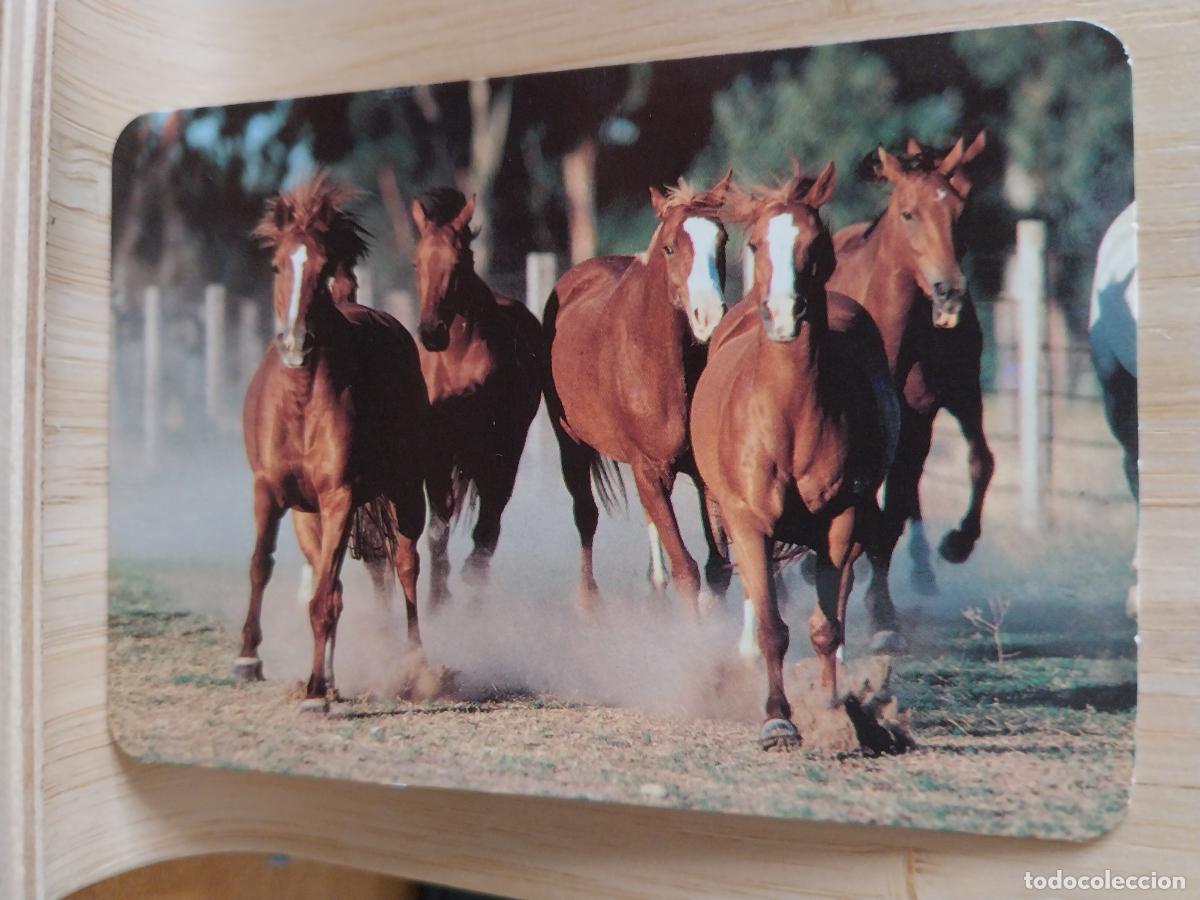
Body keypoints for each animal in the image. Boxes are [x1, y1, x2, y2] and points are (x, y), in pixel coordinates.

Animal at [237, 174, 430, 711]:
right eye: (278, 265)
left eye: (322, 268)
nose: (295, 342)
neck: (301, 405)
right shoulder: (270, 491)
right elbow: (262, 566)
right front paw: (248, 659)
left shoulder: (340, 496)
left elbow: (324, 596)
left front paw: (315, 692)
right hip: (310, 517)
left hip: (405, 493)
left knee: (407, 566)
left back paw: (415, 665)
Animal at [407, 187, 545, 604]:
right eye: (416, 262)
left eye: (457, 262)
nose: (431, 332)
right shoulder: (436, 447)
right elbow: (437, 527)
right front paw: (437, 599)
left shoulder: (492, 447)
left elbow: (485, 525)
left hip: (508, 449)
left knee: (491, 519)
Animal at [543, 171, 732, 615]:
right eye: (669, 246)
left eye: (723, 241)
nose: (709, 316)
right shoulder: (648, 469)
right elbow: (687, 570)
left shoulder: (701, 474)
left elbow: (718, 569)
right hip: (570, 443)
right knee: (586, 514)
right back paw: (589, 600)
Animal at [691, 162, 899, 750]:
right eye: (756, 243)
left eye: (816, 242)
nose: (784, 315)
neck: (789, 414)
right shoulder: (747, 521)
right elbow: (771, 626)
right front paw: (777, 718)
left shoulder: (841, 521)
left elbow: (825, 626)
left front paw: (832, 708)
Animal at [825, 134, 989, 649]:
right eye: (908, 213)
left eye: (959, 209)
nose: (950, 290)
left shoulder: (922, 417)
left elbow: (894, 513)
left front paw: (882, 614)